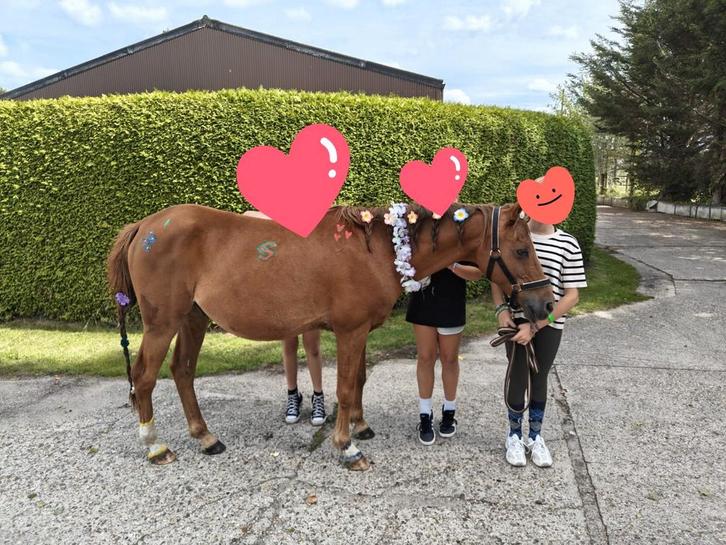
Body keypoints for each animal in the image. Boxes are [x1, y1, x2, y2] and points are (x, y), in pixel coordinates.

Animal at [107, 202, 554, 470]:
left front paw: (359, 425)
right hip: (163, 323)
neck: (381, 250)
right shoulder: (349, 331)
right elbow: (343, 386)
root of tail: (145, 226)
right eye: (520, 251)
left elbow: (358, 381)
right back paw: (155, 445)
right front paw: (347, 447)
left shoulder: (361, 332)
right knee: (145, 377)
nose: (545, 305)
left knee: (182, 372)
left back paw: (206, 438)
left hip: (193, 319)